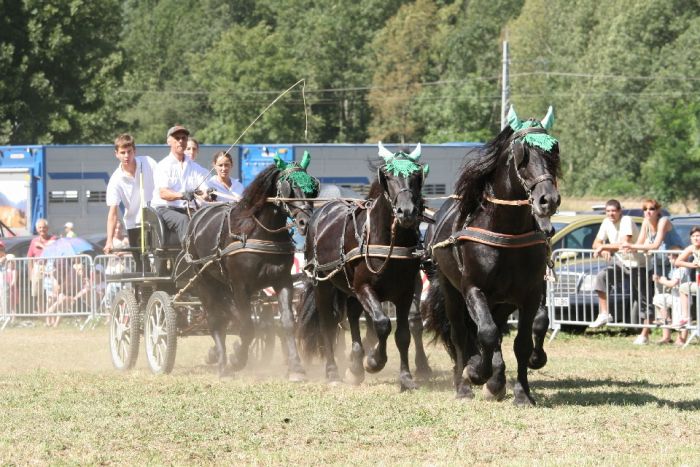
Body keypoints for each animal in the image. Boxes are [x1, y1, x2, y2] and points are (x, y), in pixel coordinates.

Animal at [185, 154, 318, 380]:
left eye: (312, 188)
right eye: (289, 187)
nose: (305, 222)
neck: (260, 232)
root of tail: (198, 216)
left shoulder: (283, 281)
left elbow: (287, 322)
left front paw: (296, 367)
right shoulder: (240, 286)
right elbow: (247, 326)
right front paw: (237, 359)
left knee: (228, 315)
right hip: (204, 282)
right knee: (216, 320)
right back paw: (223, 364)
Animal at [298, 143, 430, 392]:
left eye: (417, 175)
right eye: (388, 175)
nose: (406, 212)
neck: (387, 240)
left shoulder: (406, 292)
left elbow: (403, 334)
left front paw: (406, 378)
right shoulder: (365, 288)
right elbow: (382, 323)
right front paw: (374, 361)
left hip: (349, 289)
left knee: (351, 316)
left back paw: (355, 366)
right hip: (324, 284)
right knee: (328, 324)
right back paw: (333, 372)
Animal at [422, 107, 564, 406]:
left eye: (553, 151)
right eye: (522, 153)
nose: (548, 200)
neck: (507, 230)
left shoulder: (530, 292)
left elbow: (524, 340)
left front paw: (522, 392)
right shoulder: (473, 289)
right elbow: (485, 333)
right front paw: (476, 372)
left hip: (502, 301)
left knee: (496, 330)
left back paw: (496, 381)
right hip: (451, 291)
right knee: (462, 334)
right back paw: (465, 383)